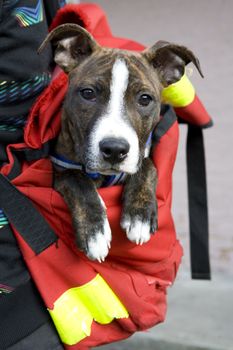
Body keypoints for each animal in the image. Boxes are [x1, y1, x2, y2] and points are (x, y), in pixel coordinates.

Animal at [39, 24, 203, 262]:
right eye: (88, 93)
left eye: (145, 99)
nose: (115, 150)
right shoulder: (58, 171)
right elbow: (76, 179)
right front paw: (94, 232)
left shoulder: (140, 155)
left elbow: (147, 165)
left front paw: (139, 216)